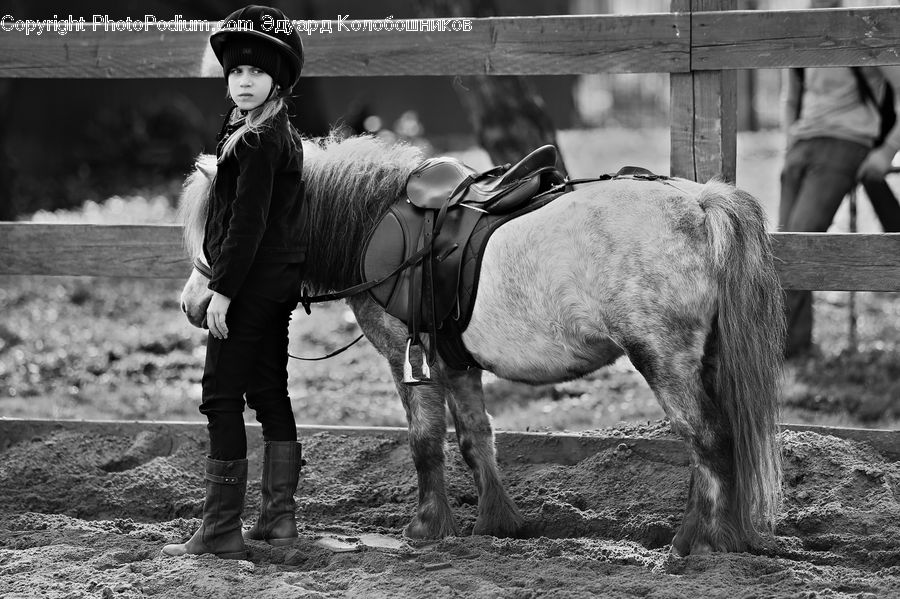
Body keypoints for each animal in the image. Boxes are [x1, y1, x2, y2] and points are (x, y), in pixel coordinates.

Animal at [178, 134, 785, 556]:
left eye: (221, 226)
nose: (194, 306)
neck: (373, 219)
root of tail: (700, 201)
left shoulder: (408, 359)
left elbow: (425, 442)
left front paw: (426, 527)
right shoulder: (456, 365)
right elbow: (475, 440)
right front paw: (497, 523)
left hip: (663, 360)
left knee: (707, 438)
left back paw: (698, 542)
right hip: (701, 361)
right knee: (716, 440)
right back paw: (712, 536)